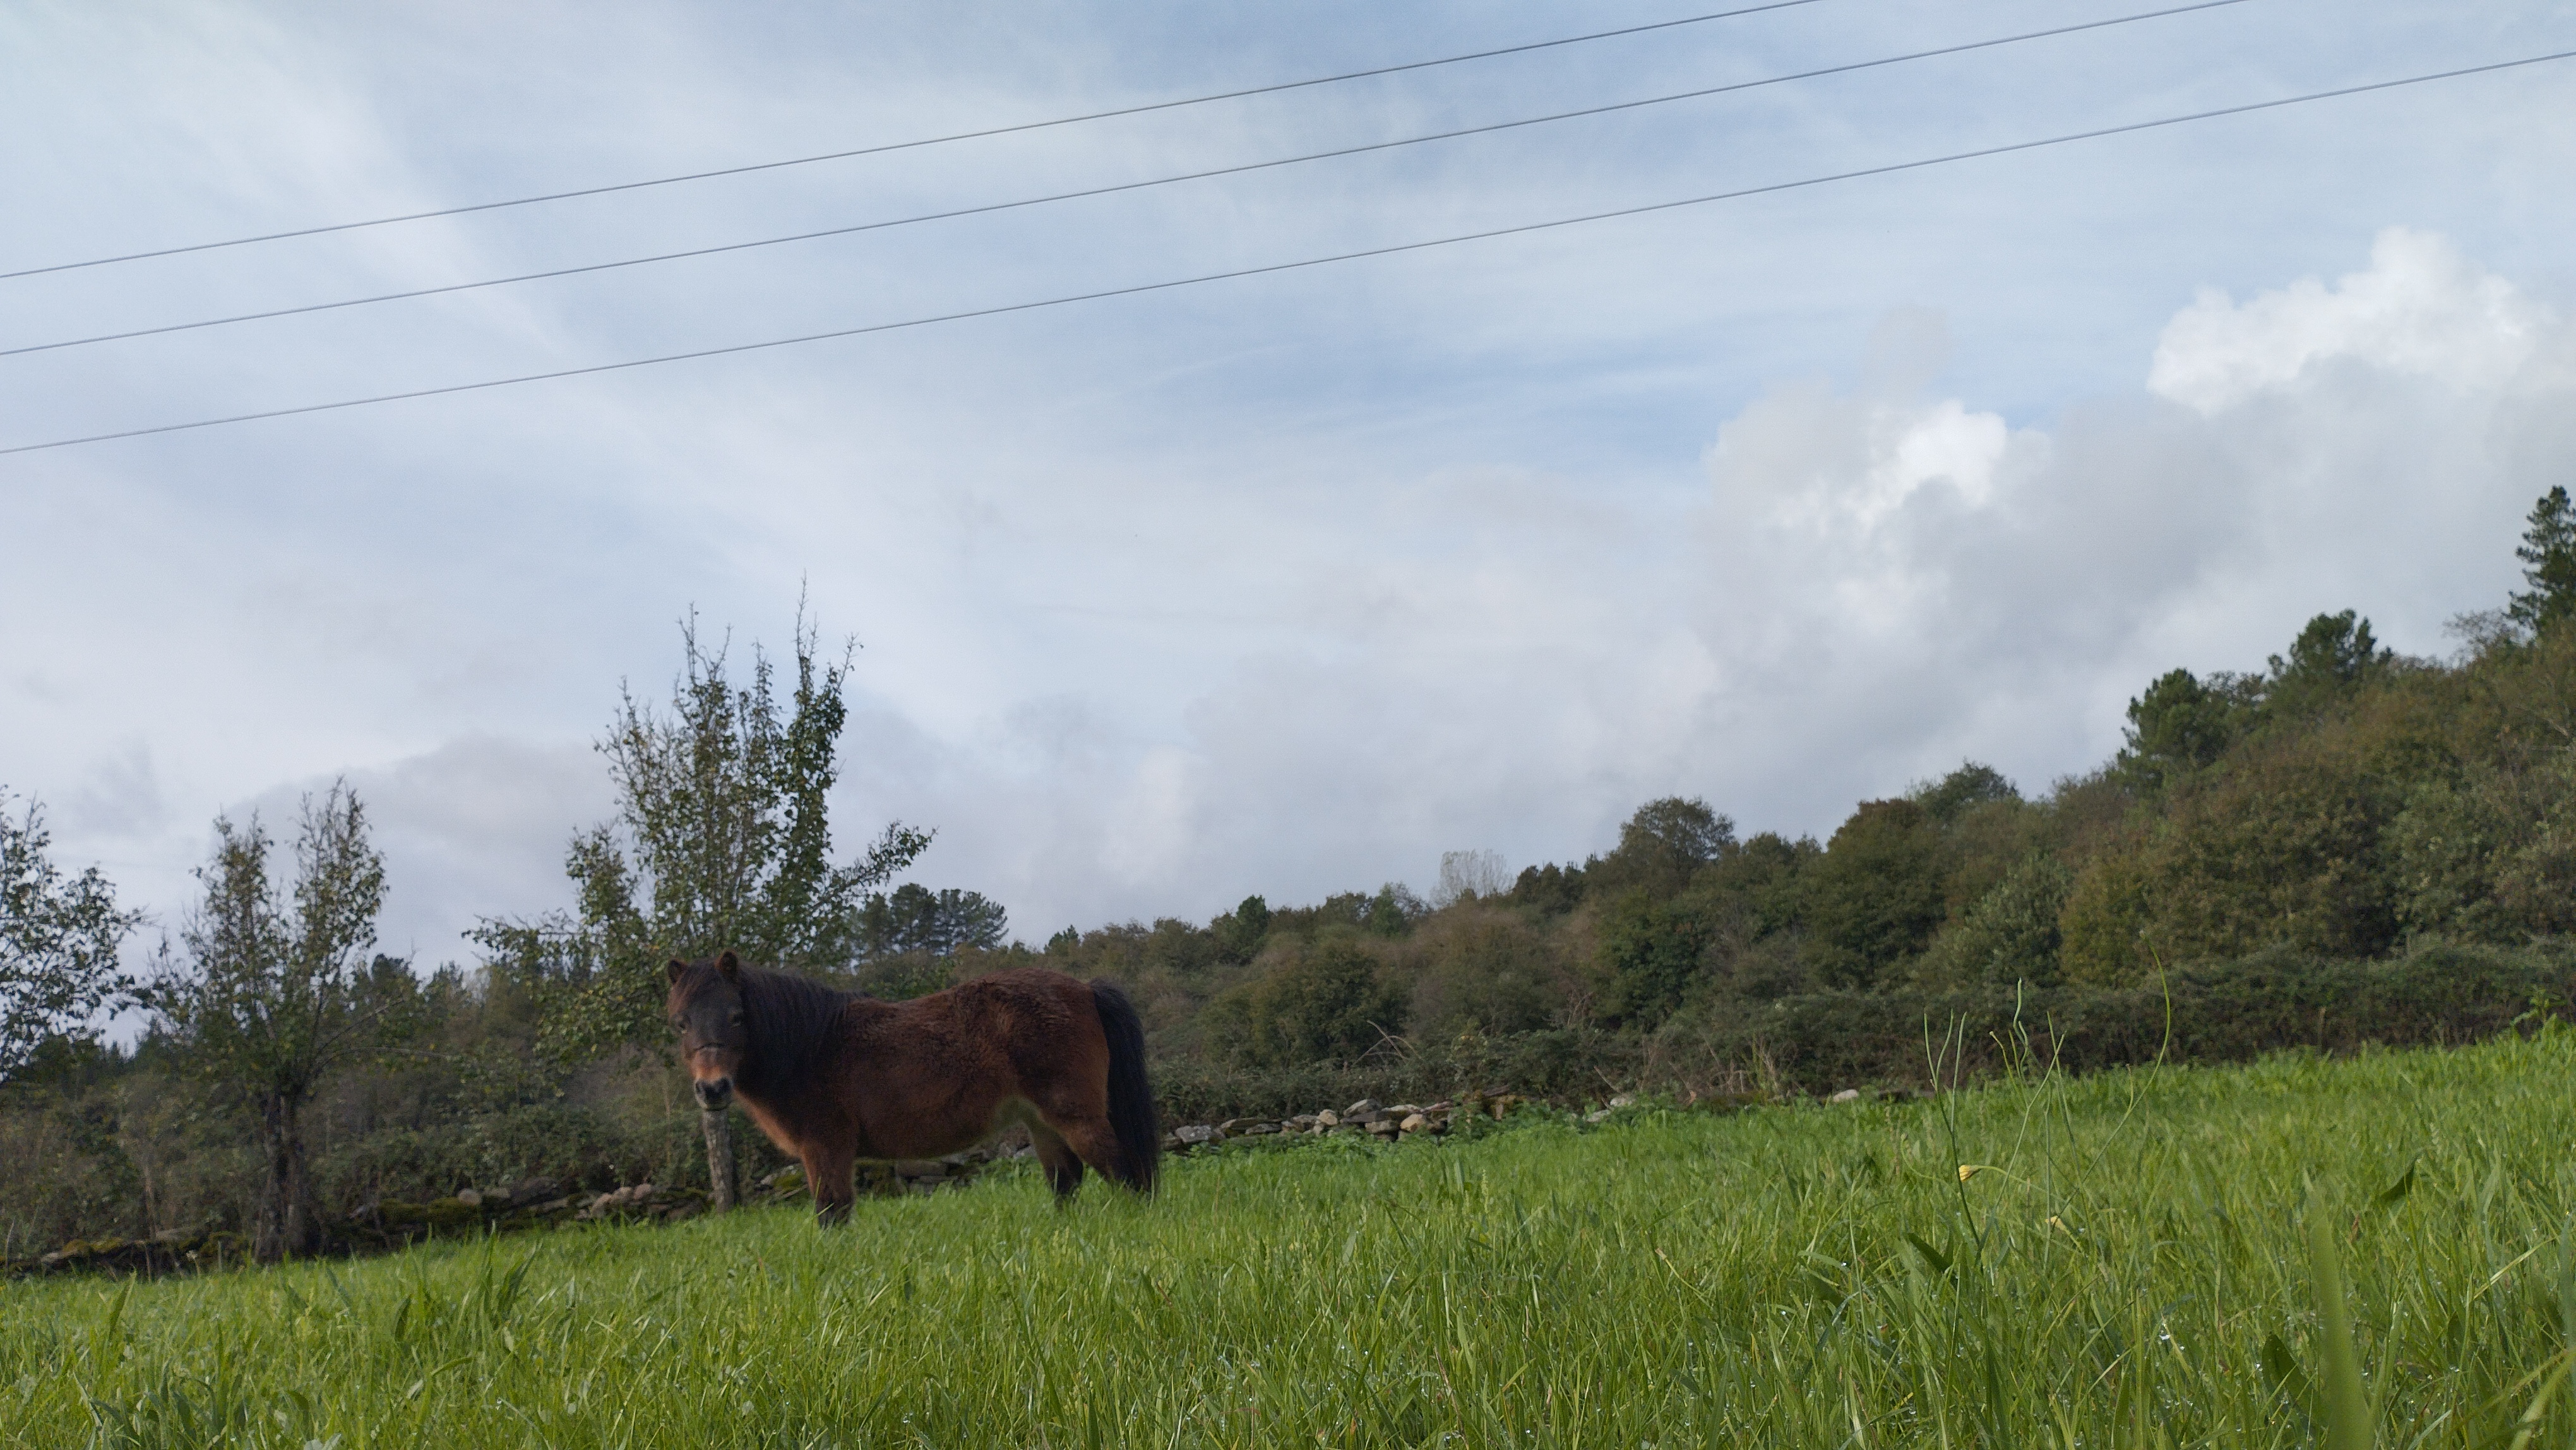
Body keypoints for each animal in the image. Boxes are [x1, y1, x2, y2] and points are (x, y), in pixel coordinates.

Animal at [664, 951, 1160, 1222]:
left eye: (736, 1017)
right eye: (681, 1022)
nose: (713, 1089)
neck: (813, 1045)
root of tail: (1085, 988)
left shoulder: (826, 1148)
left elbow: (832, 1213)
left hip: (1075, 1116)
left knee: (1124, 1172)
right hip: (1041, 1123)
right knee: (1065, 1181)